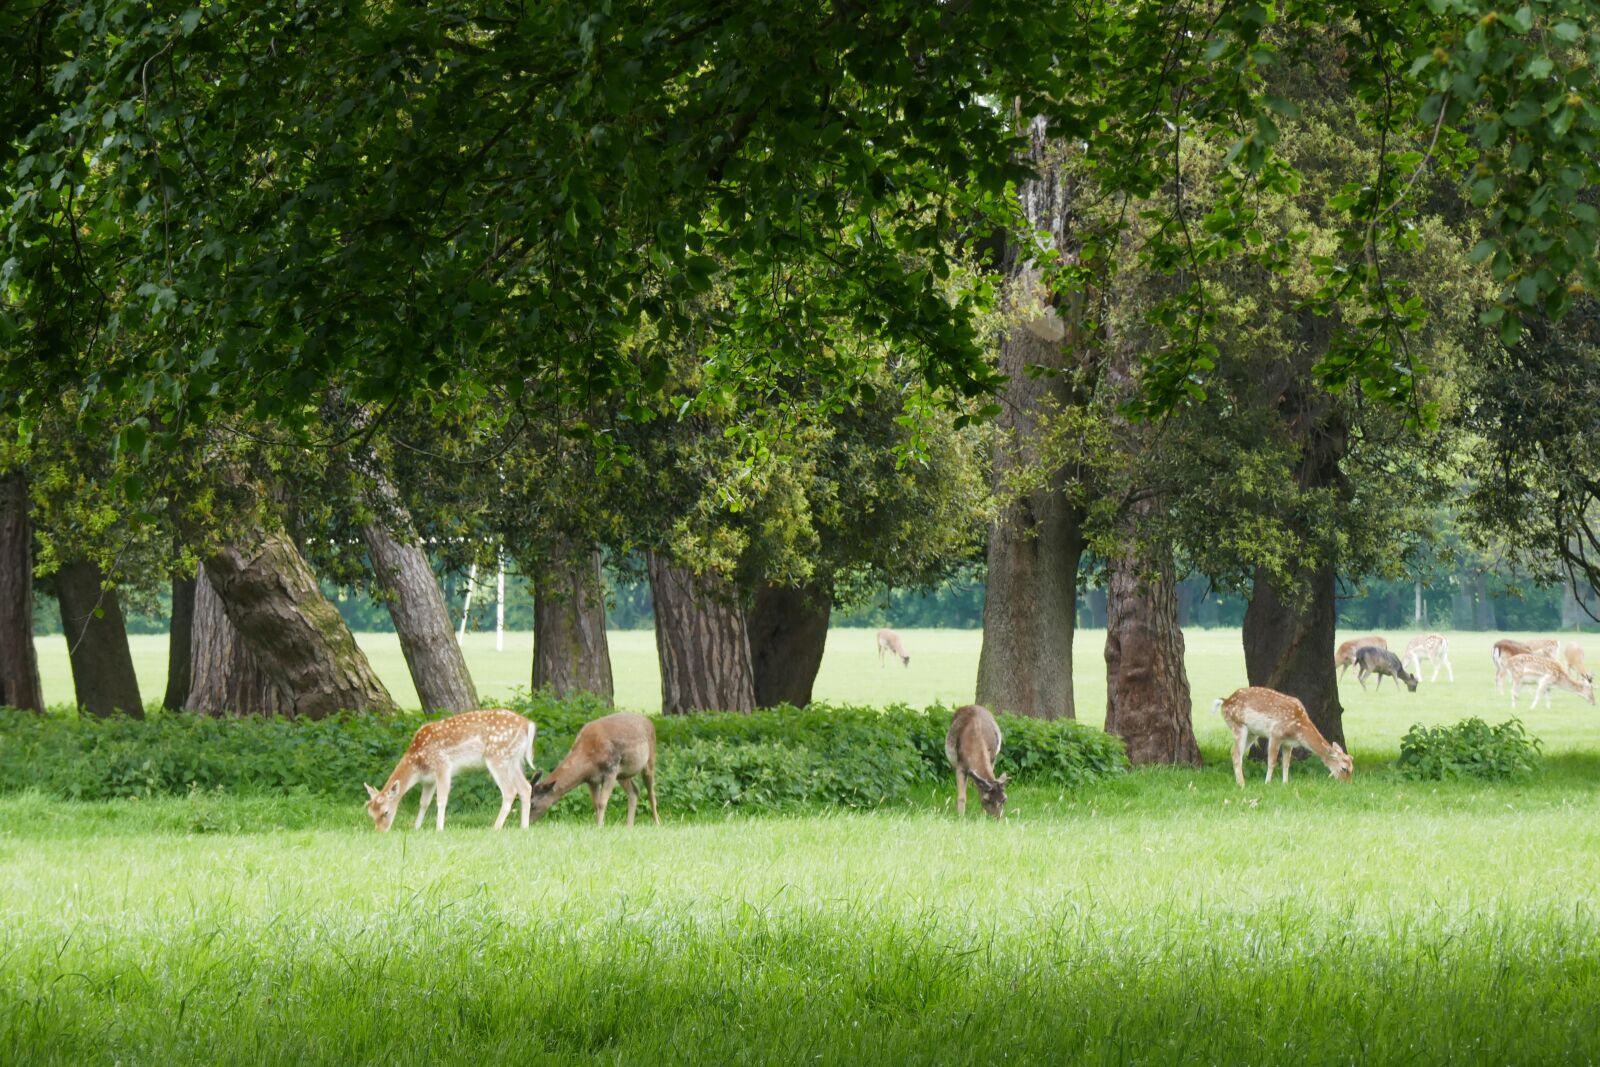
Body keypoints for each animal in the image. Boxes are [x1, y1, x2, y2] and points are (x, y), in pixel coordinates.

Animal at [364, 710, 534, 831]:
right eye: (370, 813)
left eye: (385, 812)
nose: (380, 831)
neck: (417, 762)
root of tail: (528, 724)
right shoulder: (428, 780)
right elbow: (423, 802)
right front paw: (416, 827)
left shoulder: (443, 765)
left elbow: (441, 799)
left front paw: (439, 829)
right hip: (514, 760)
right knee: (526, 787)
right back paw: (524, 827)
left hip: (497, 756)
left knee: (510, 791)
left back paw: (495, 827)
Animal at [521, 713, 652, 831]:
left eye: (532, 803)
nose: (525, 823)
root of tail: (647, 719)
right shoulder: (591, 779)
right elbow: (595, 804)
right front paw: (599, 824)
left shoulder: (611, 770)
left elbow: (602, 803)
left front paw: (599, 827)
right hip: (623, 774)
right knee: (634, 791)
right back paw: (629, 825)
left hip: (649, 761)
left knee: (651, 793)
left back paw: (655, 822)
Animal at [1209, 687, 1350, 790]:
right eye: (1344, 768)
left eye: (1352, 768)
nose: (1346, 784)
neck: (1299, 728)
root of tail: (1225, 701)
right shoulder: (1275, 733)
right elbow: (1272, 761)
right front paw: (1267, 783)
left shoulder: (1288, 743)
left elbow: (1286, 763)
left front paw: (1285, 783)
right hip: (1238, 725)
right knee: (1235, 752)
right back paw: (1242, 784)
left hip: (1252, 733)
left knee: (1236, 753)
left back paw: (1240, 782)